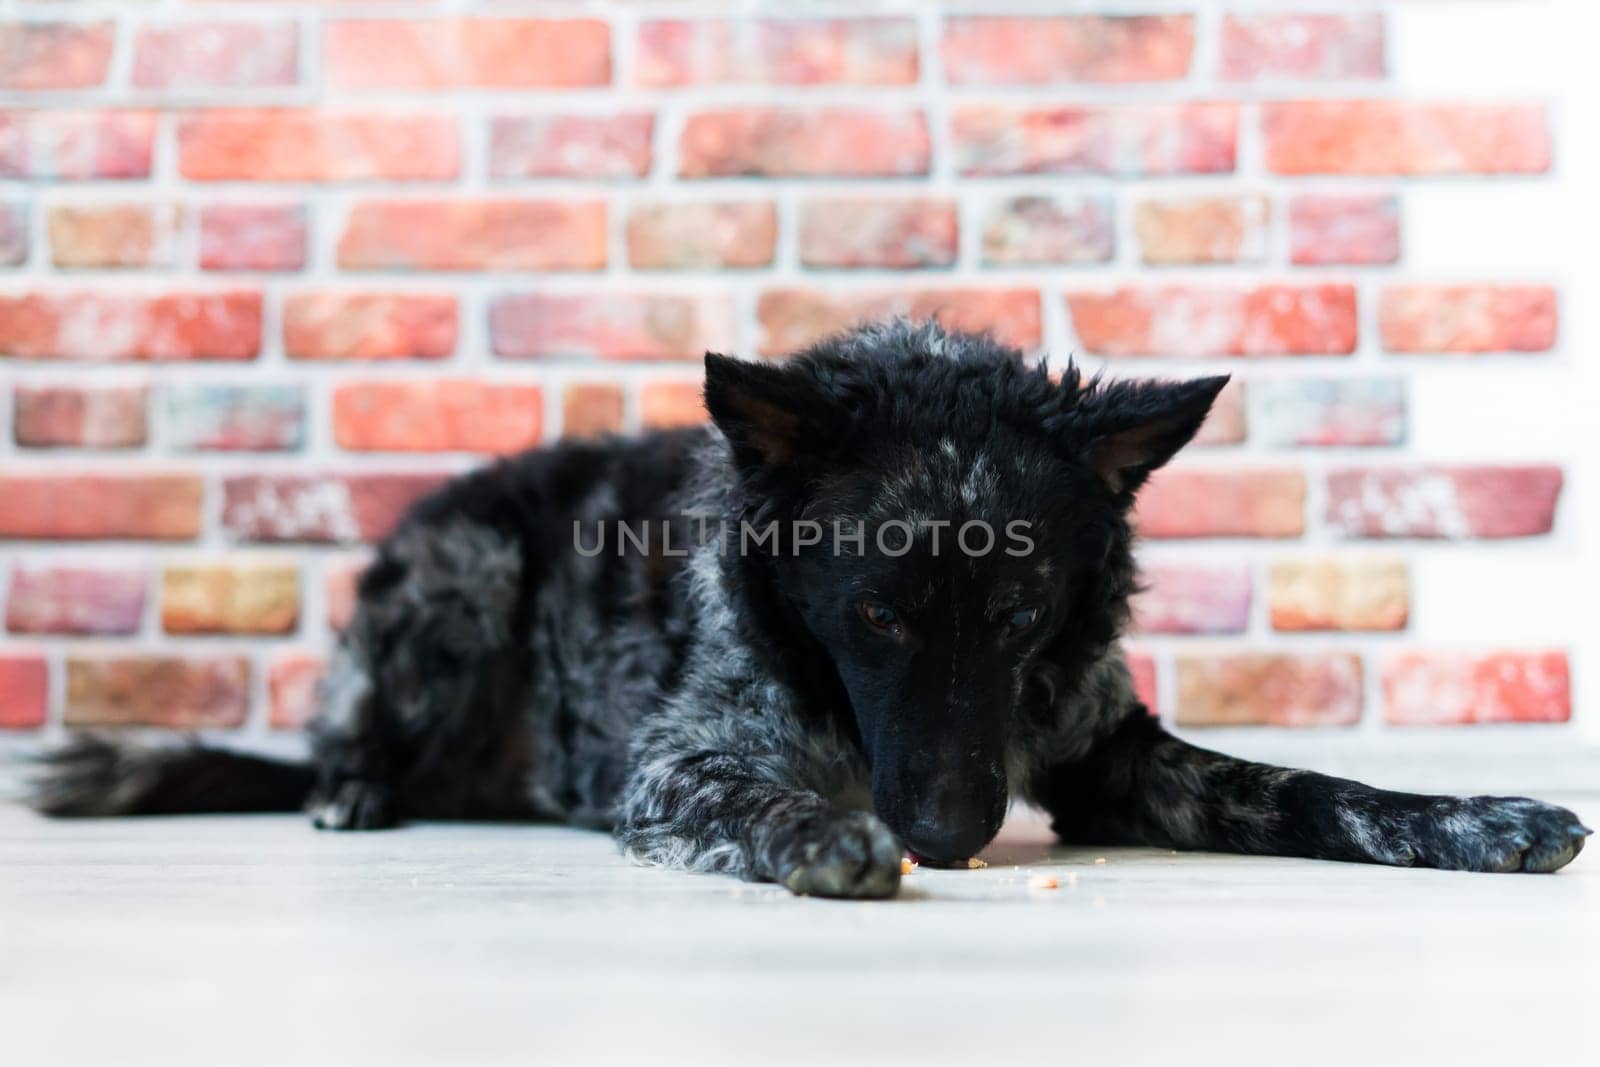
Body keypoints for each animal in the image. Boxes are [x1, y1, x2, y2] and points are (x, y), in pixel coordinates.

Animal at [34, 321, 1587, 895]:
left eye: (1021, 611)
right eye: (877, 613)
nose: (951, 835)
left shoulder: (1107, 751)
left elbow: (1302, 785)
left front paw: (1471, 816)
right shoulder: (678, 759)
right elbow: (749, 794)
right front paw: (820, 839)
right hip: (458, 580)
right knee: (343, 741)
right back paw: (349, 789)